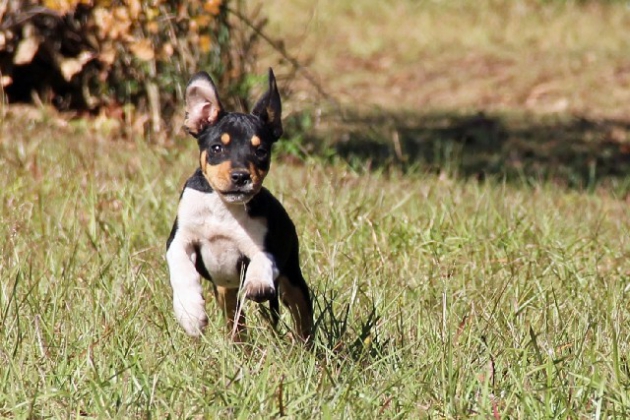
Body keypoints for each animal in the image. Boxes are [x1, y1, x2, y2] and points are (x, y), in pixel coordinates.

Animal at [165, 69, 314, 342]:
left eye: (261, 151)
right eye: (216, 148)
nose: (241, 176)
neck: (223, 207)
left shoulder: (266, 245)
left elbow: (262, 260)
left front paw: (257, 282)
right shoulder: (179, 239)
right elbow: (181, 269)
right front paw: (190, 313)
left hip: (291, 277)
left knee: (302, 313)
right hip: (226, 293)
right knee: (237, 324)